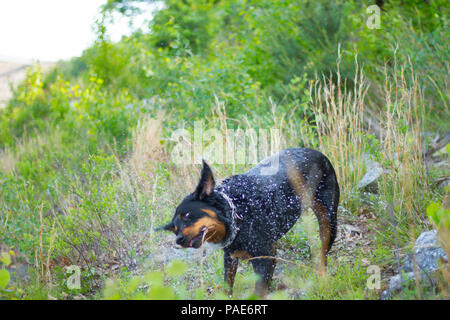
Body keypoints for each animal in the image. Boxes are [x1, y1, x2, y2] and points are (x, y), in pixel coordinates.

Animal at [160, 149, 340, 296]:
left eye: (188, 215)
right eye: (174, 228)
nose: (178, 240)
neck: (238, 212)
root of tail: (319, 153)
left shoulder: (264, 259)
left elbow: (258, 292)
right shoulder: (230, 257)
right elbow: (227, 287)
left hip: (328, 222)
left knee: (323, 255)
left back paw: (323, 280)